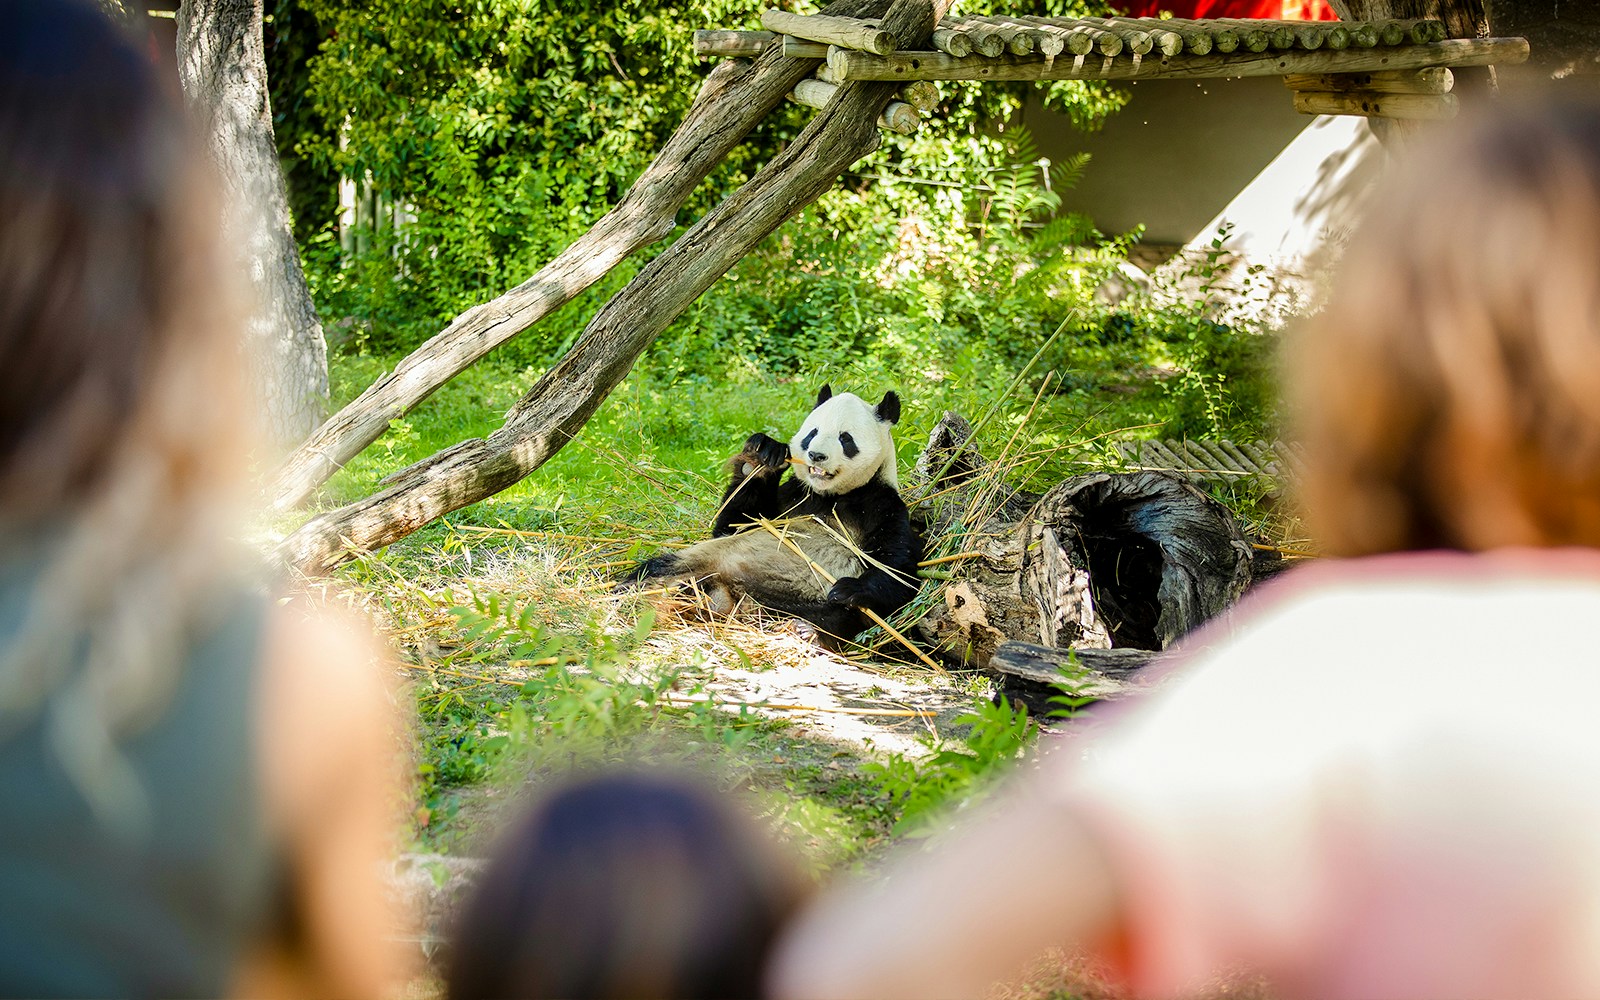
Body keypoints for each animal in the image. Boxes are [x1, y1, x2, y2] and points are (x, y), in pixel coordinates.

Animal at [622, 385, 924, 643]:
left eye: (845, 439)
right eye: (812, 433)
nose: (816, 455)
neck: (830, 496)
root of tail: (731, 596)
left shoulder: (880, 505)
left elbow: (899, 570)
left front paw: (849, 590)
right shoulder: (792, 497)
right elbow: (735, 525)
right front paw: (762, 456)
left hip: (803, 600)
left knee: (834, 617)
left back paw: (804, 629)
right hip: (700, 561)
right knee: (658, 568)